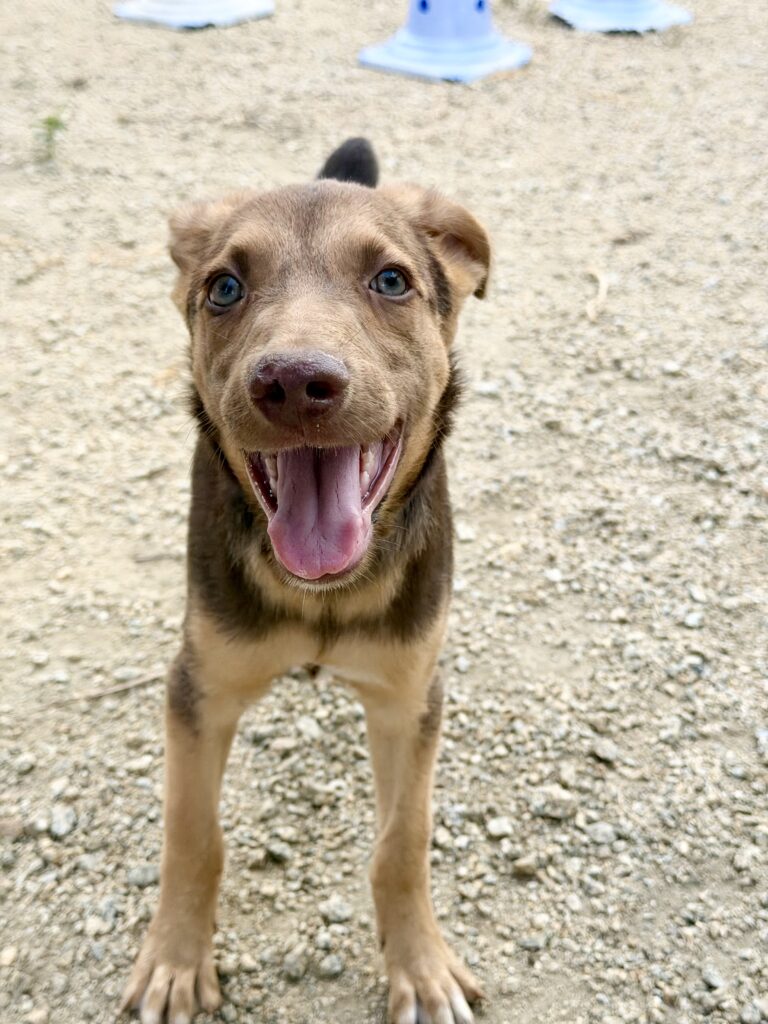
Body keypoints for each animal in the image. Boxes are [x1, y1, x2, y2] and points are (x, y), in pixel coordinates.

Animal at [120, 138, 490, 1024]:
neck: (324, 591)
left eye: (391, 280)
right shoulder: (199, 686)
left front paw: (420, 965)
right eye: (224, 288)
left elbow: (403, 841)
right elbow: (192, 833)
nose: (292, 382)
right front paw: (175, 959)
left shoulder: (409, 696)